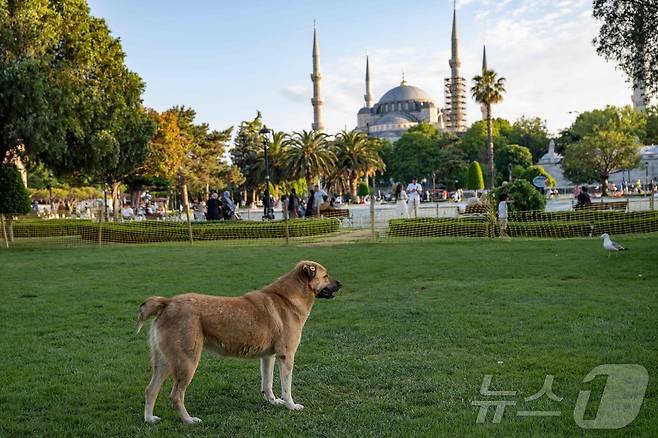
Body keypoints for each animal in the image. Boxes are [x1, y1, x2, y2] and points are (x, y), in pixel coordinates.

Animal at [133, 260, 338, 424]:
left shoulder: (269, 356)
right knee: (175, 396)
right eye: (326, 275)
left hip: (164, 362)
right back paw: (189, 420)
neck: (287, 298)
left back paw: (150, 419)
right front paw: (291, 406)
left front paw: (273, 402)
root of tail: (167, 302)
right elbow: (286, 387)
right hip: (186, 362)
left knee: (150, 390)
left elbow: (267, 384)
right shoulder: (286, 356)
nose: (341, 284)